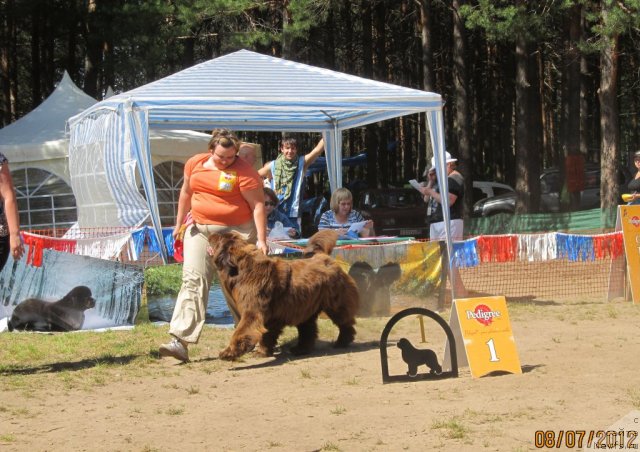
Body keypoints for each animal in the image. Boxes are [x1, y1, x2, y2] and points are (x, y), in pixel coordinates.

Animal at [210, 230, 360, 360]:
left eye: (217, 238)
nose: (211, 234)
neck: (242, 269)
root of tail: (324, 257)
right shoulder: (269, 317)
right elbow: (267, 335)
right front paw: (262, 352)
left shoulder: (252, 312)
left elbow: (242, 331)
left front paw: (228, 353)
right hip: (305, 306)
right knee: (308, 330)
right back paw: (300, 349)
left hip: (335, 302)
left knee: (344, 322)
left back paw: (342, 342)